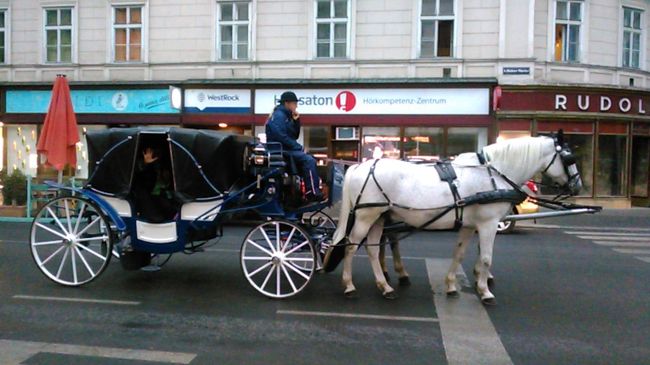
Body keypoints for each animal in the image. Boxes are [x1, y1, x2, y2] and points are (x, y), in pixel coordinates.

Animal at [326, 134, 580, 304]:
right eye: (569, 158)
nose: (577, 186)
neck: (492, 173)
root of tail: (360, 166)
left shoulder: (469, 225)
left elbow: (459, 253)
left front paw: (451, 285)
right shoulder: (488, 224)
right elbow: (486, 257)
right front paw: (485, 291)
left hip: (379, 216)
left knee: (372, 248)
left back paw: (385, 286)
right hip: (366, 216)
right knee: (351, 246)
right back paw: (349, 286)